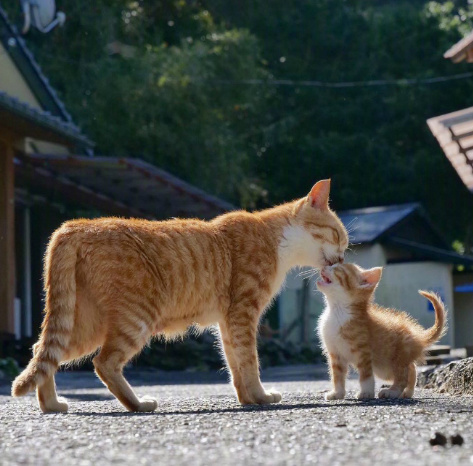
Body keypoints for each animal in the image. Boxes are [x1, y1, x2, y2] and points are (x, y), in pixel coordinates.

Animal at [12, 180, 348, 414]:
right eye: (338, 236)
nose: (343, 257)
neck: (275, 239)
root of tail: (75, 226)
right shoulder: (243, 314)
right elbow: (249, 361)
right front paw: (261, 397)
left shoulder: (228, 321)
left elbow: (235, 364)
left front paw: (247, 399)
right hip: (135, 319)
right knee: (103, 362)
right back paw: (138, 405)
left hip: (85, 324)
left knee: (43, 352)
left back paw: (52, 405)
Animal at [316, 264, 444, 398]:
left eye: (337, 268)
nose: (324, 266)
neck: (337, 311)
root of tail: (417, 336)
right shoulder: (335, 353)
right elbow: (337, 376)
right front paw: (337, 393)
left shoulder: (364, 352)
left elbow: (366, 375)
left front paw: (366, 393)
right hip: (385, 368)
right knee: (412, 369)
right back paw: (407, 392)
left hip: (397, 359)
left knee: (403, 376)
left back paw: (393, 391)